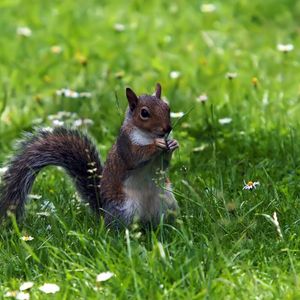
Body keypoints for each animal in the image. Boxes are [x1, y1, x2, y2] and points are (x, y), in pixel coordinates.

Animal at [0, 83, 178, 229]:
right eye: (144, 113)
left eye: (167, 107)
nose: (167, 128)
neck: (148, 136)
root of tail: (104, 212)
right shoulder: (126, 145)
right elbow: (136, 156)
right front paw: (157, 145)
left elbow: (164, 164)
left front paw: (172, 144)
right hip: (125, 209)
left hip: (167, 201)